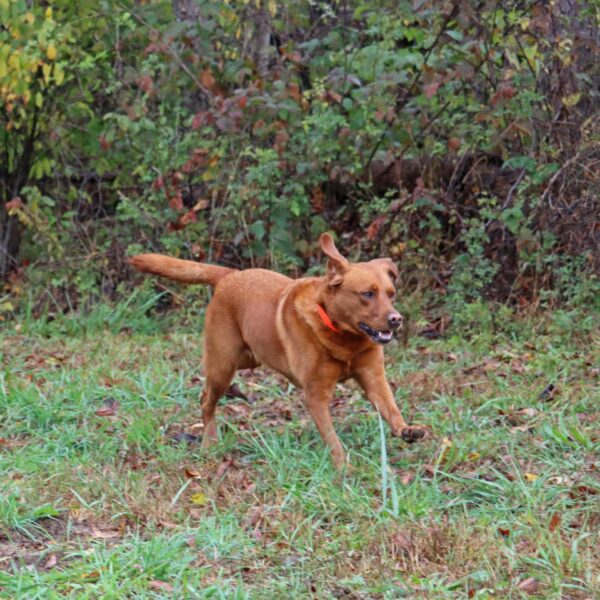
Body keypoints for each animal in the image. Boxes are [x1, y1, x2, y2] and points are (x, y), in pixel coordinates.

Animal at [129, 233, 426, 468]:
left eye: (391, 293)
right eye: (367, 294)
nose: (396, 319)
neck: (343, 338)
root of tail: (230, 275)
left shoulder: (373, 377)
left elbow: (391, 408)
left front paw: (406, 430)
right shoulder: (316, 393)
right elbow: (331, 437)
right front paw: (343, 467)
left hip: (249, 358)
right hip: (223, 365)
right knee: (206, 399)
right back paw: (209, 441)